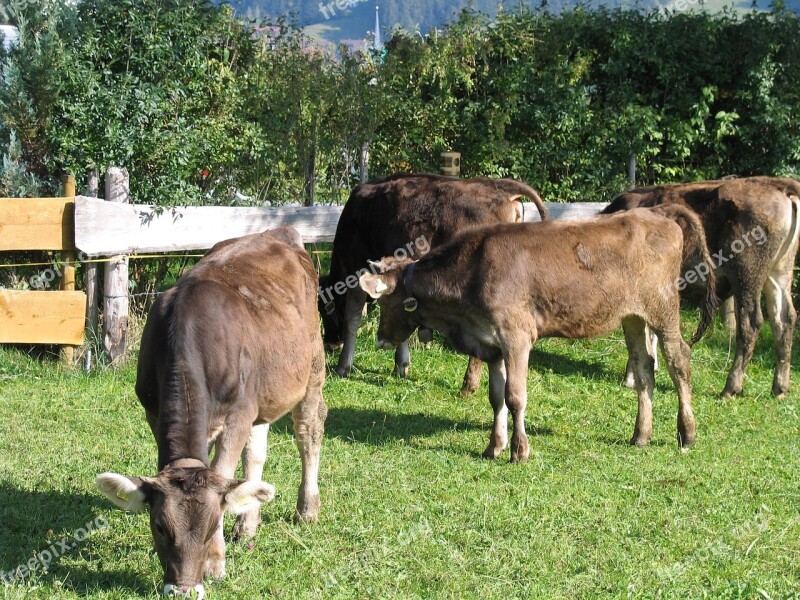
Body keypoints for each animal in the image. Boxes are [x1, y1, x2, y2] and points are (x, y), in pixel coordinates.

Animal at [95, 226, 326, 600]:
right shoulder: (155, 412)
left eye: (213, 522)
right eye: (159, 526)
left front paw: (216, 562)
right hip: (260, 394)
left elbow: (222, 473)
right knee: (256, 453)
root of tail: (280, 232)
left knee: (309, 433)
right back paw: (247, 524)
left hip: (312, 368)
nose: (183, 590)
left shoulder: (237, 415)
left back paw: (307, 510)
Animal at [320, 171, 552, 384]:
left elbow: (352, 317)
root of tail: (501, 188)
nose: (330, 343)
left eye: (323, 310)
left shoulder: (355, 268)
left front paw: (343, 366)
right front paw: (401, 365)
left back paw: (469, 384)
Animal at [360, 209, 716, 462]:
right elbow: (496, 397)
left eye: (384, 301)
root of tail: (658, 214)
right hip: (633, 317)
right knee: (644, 370)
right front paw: (494, 446)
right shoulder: (491, 343)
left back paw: (687, 433)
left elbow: (515, 396)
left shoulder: (516, 336)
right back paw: (641, 434)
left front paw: (519, 450)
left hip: (663, 308)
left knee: (679, 361)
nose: (380, 339)